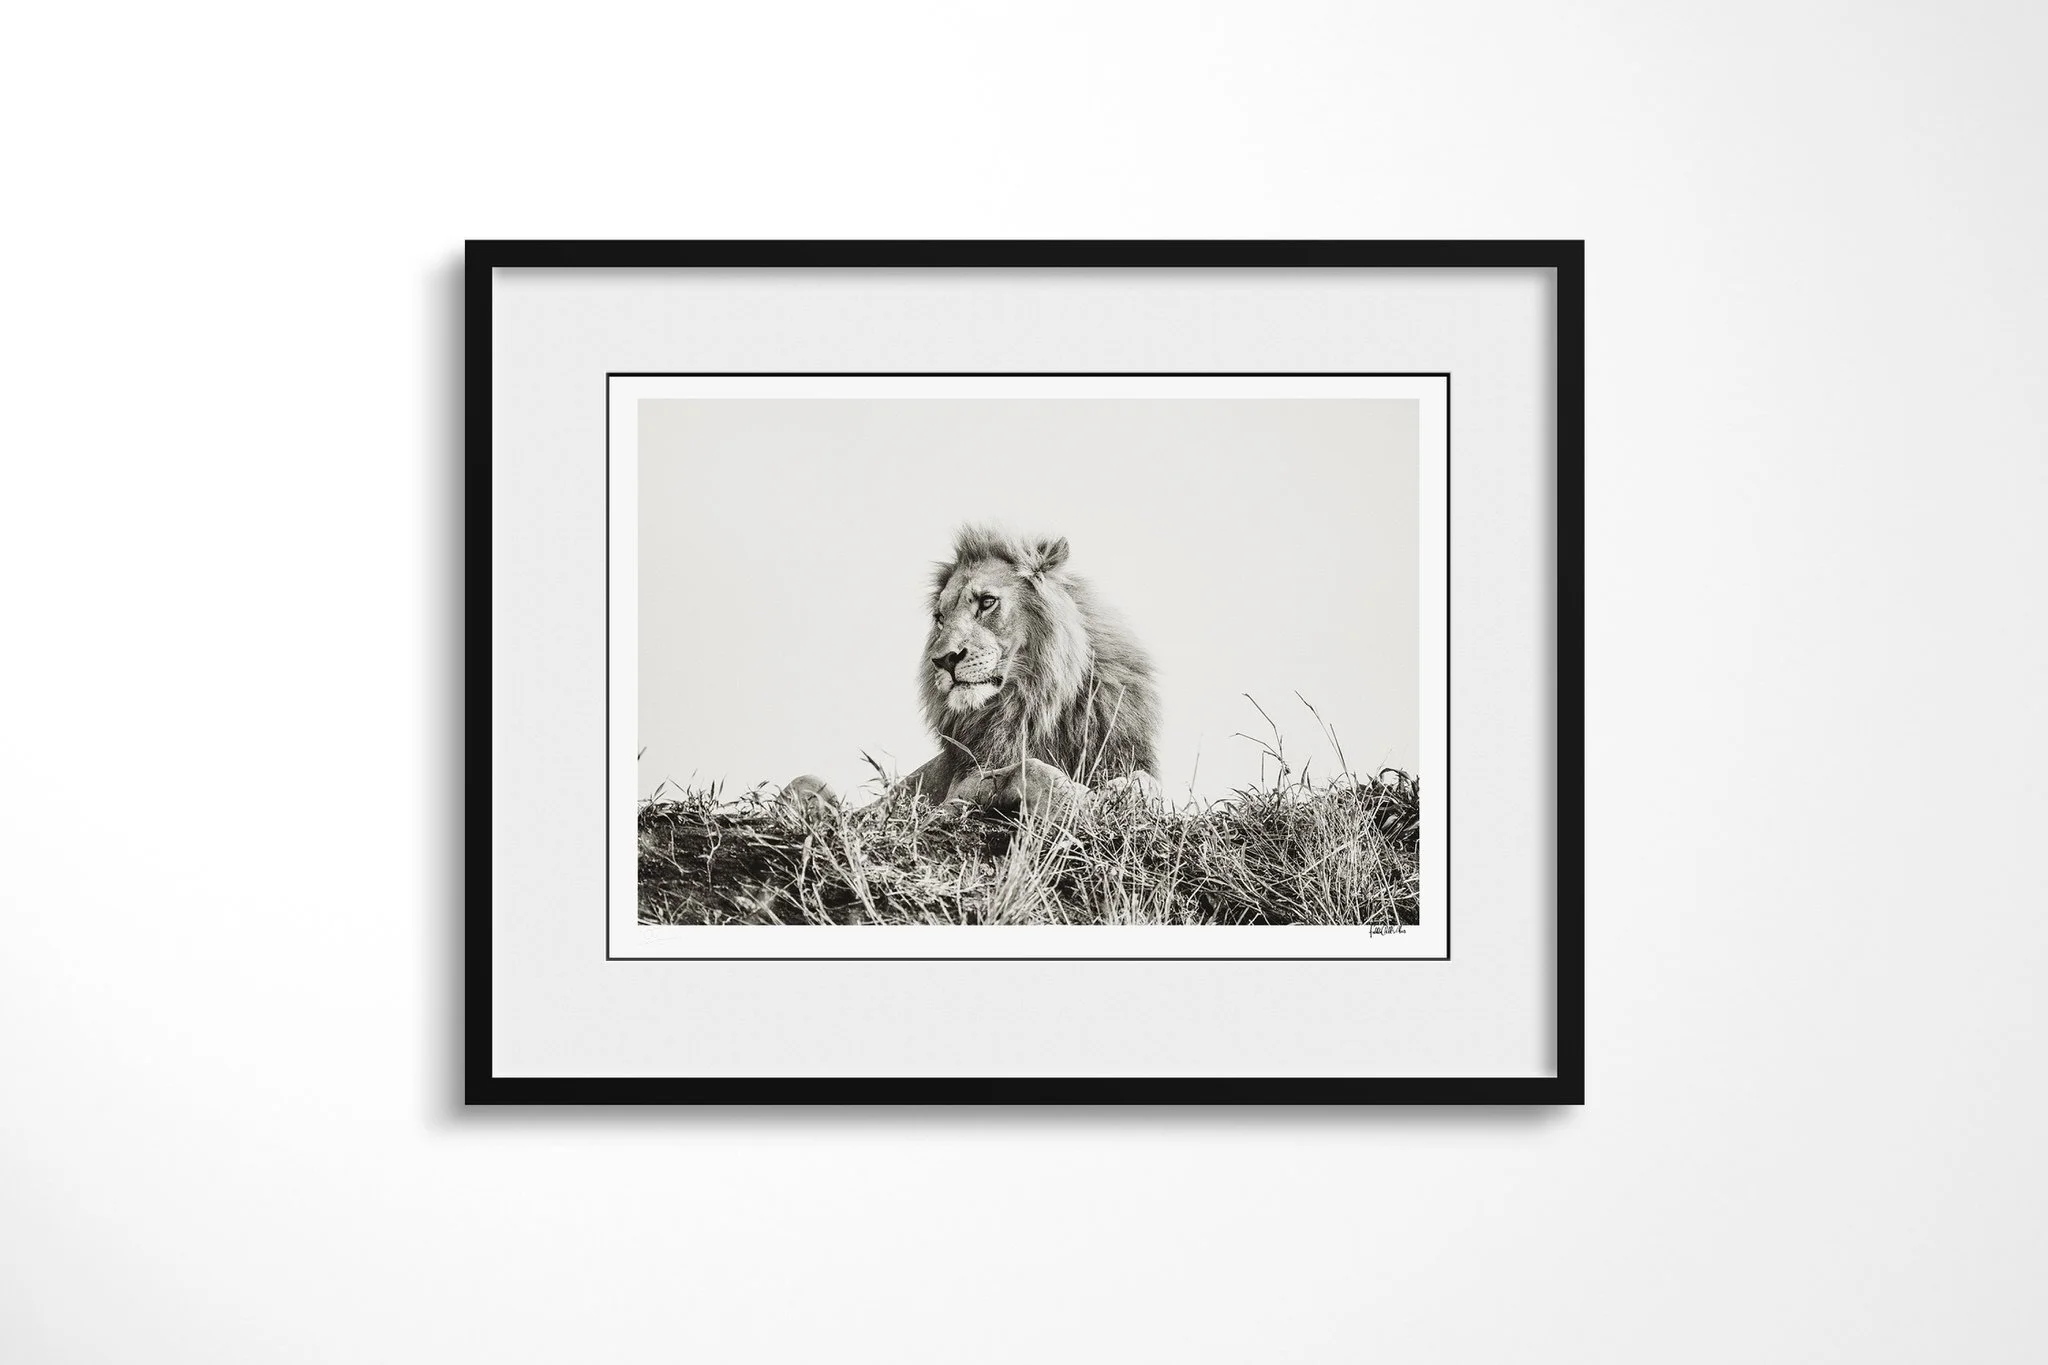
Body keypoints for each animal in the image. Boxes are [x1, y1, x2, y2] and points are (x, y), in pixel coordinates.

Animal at [780, 525, 1161, 817]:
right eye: (940, 617)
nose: (945, 659)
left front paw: (1117, 794)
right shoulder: (963, 783)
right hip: (810, 784)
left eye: (986, 602)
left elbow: (1147, 783)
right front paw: (1076, 800)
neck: (1035, 699)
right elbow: (1029, 769)